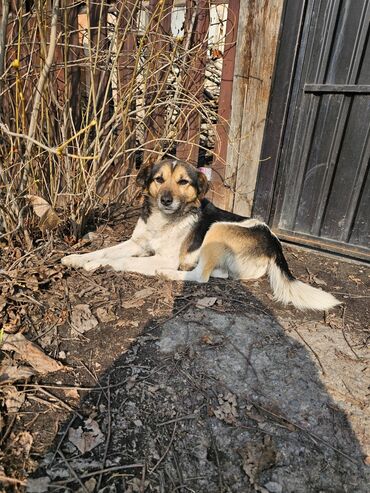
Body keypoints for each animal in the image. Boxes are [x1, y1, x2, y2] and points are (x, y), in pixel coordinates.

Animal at [61, 160, 342, 310]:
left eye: (183, 182)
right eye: (159, 179)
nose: (166, 200)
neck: (164, 220)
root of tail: (275, 243)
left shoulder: (161, 257)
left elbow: (121, 260)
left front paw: (96, 266)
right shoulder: (136, 243)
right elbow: (104, 250)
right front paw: (76, 258)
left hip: (217, 229)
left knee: (200, 277)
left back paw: (168, 274)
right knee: (219, 274)